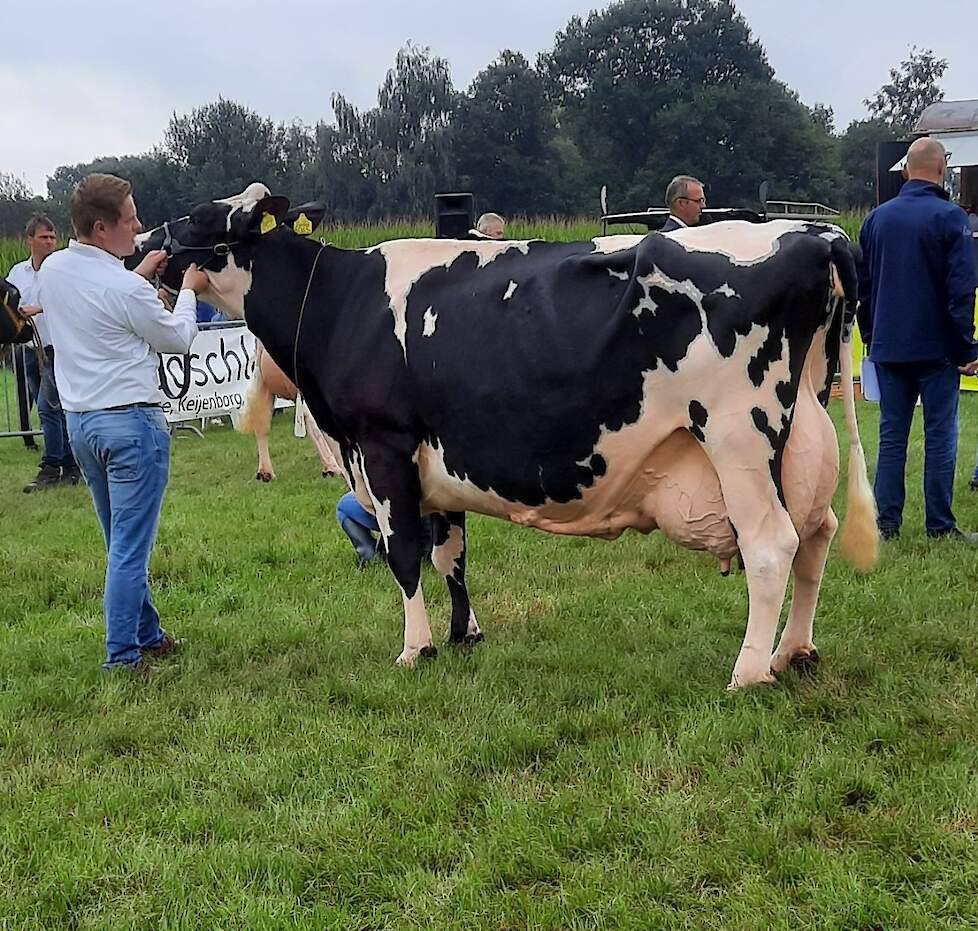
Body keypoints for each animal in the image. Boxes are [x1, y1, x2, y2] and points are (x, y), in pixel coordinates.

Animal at [139, 184, 876, 692]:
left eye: (203, 217)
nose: (148, 238)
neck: (338, 300)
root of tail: (814, 231)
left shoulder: (382, 446)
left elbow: (403, 555)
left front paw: (415, 648)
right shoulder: (436, 459)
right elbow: (452, 555)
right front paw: (464, 634)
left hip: (737, 435)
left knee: (771, 545)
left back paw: (749, 671)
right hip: (802, 426)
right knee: (818, 533)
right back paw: (794, 651)